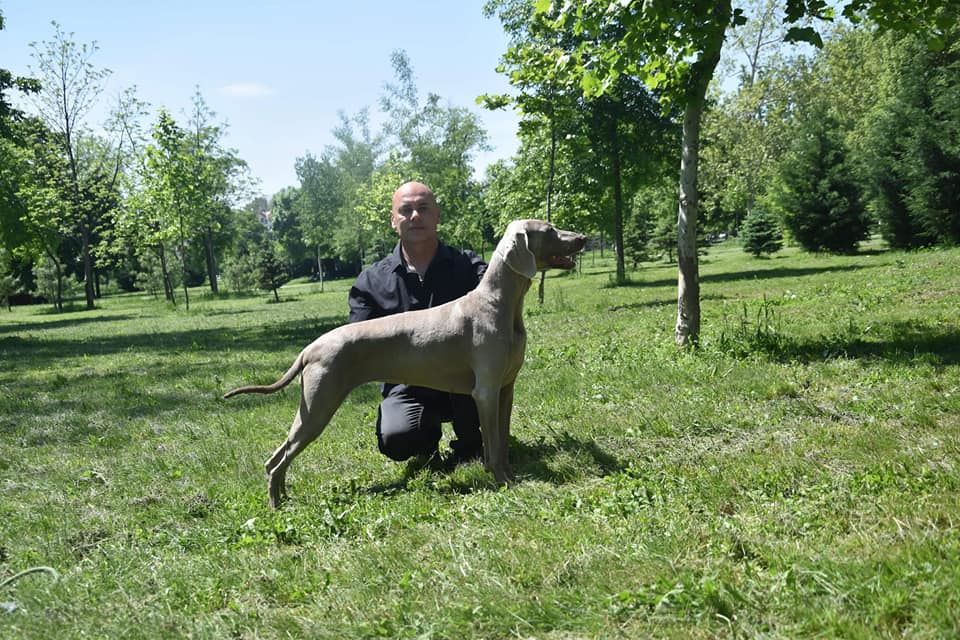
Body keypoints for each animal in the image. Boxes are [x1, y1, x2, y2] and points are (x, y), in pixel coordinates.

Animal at [225, 218, 584, 508]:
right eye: (549, 230)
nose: (582, 236)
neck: (499, 305)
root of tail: (310, 348)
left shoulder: (505, 389)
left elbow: (502, 439)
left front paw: (509, 474)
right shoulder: (485, 391)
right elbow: (493, 445)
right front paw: (502, 481)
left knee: (279, 458)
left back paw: (284, 497)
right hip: (318, 405)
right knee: (277, 459)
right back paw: (276, 506)